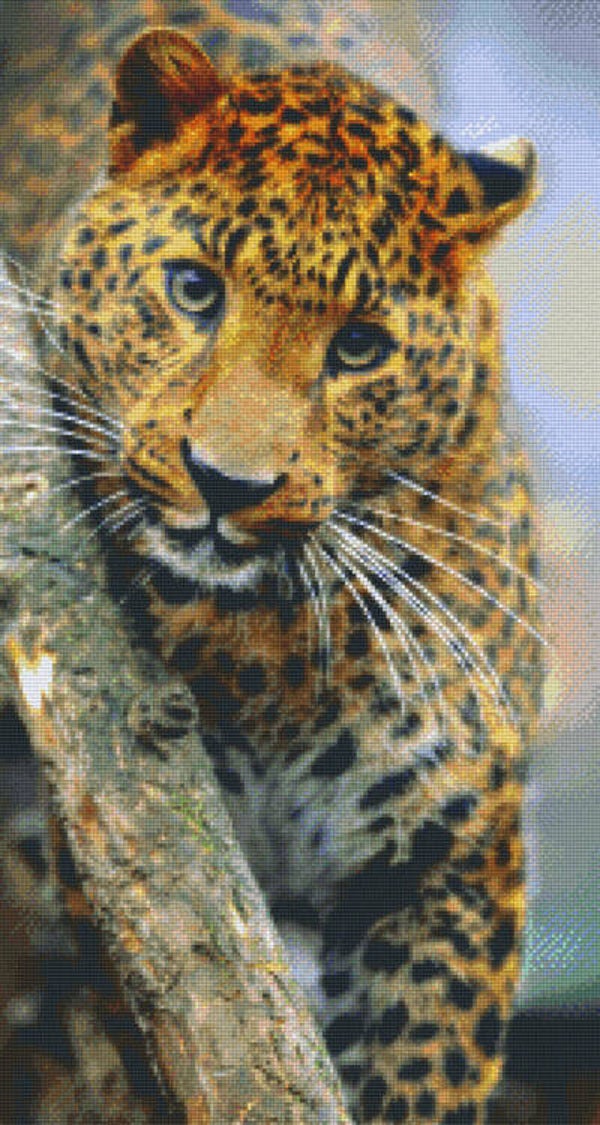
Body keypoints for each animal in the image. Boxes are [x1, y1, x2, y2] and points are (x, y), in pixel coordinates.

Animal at [0, 4, 544, 1123]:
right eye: (195, 289)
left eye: (360, 347)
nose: (227, 485)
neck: (261, 639)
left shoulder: (453, 851)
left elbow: (419, 1071)